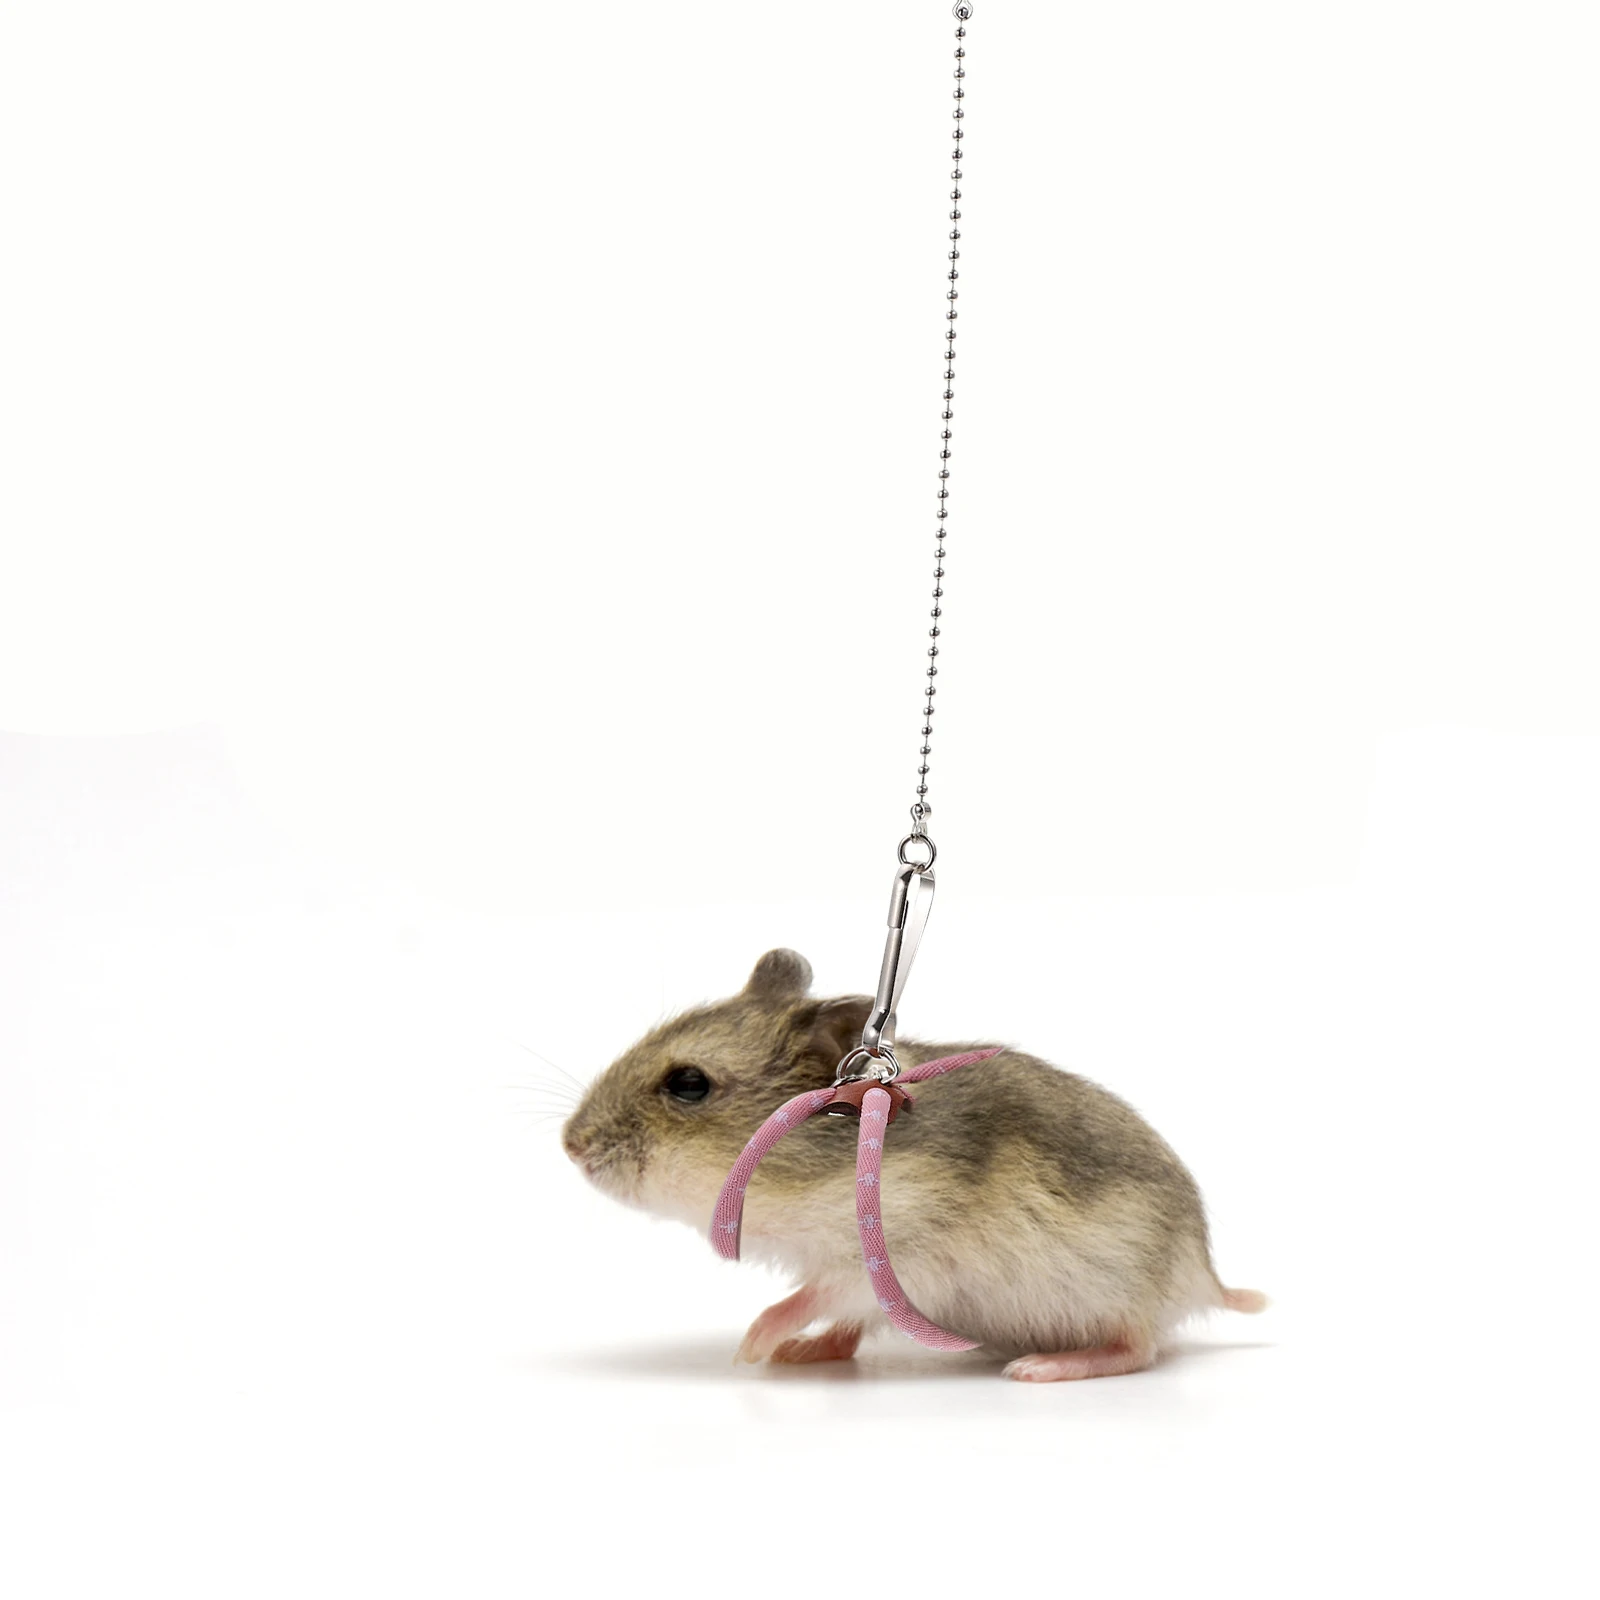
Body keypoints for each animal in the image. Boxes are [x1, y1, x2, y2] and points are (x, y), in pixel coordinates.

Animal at [561, 948, 1266, 1381]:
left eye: (688, 1084)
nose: (570, 1144)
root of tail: (1205, 1275)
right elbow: (840, 1319)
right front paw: (780, 1354)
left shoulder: (881, 1257)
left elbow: (808, 1296)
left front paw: (750, 1348)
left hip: (1118, 1293)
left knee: (1137, 1348)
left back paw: (1037, 1367)